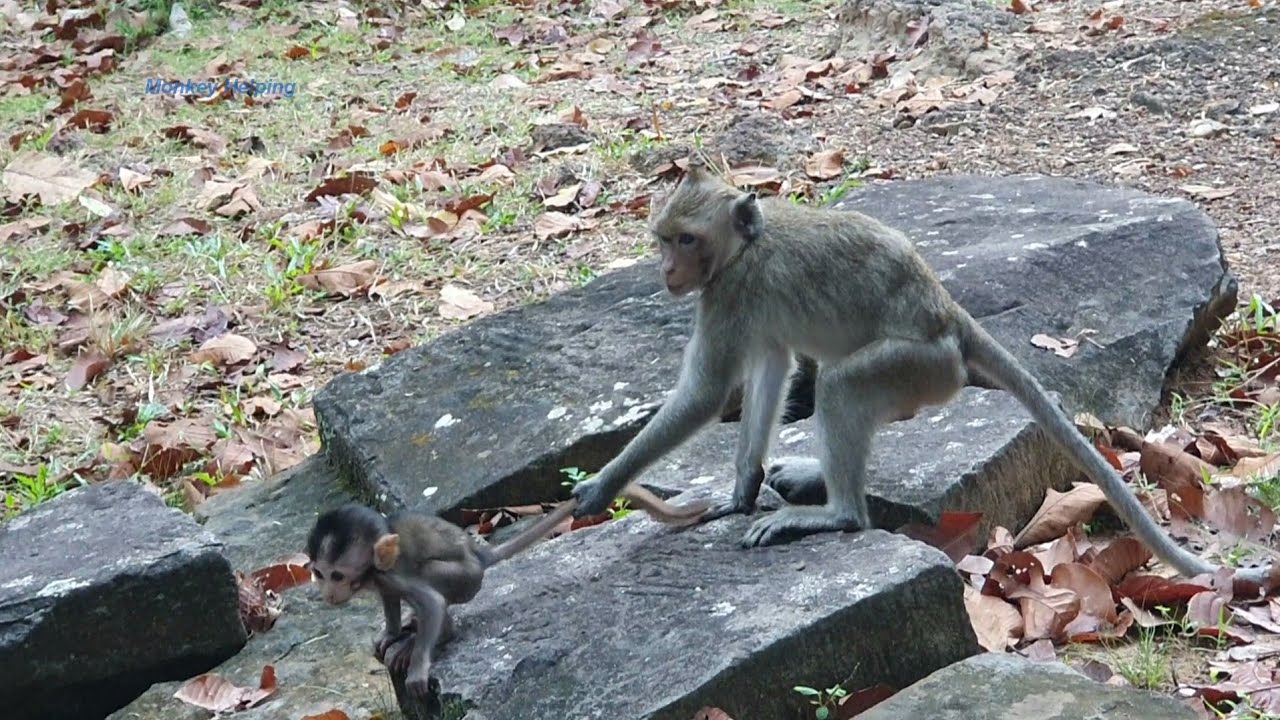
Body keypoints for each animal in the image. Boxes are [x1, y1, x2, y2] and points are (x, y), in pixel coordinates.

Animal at [306, 485, 709, 697]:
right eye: (319, 574)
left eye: (338, 575)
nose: (327, 595)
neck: (374, 564)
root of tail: (480, 553)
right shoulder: (381, 578)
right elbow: (388, 598)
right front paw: (390, 633)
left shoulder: (392, 572)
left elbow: (432, 603)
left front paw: (418, 663)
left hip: (466, 578)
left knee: (436, 585)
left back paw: (436, 634)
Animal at [569, 158, 1273, 587]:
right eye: (664, 239)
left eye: (684, 240)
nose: (666, 271)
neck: (746, 245)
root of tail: (947, 313)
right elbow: (770, 370)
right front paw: (742, 490)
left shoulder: (727, 295)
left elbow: (707, 394)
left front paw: (601, 485)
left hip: (919, 365)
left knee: (842, 386)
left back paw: (838, 513)